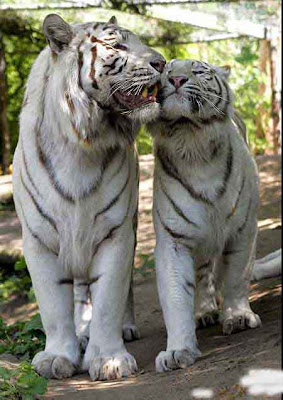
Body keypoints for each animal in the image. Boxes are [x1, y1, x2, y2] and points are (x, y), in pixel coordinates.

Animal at [12, 13, 165, 382]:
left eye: (140, 40)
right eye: (117, 45)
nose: (162, 62)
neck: (81, 144)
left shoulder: (115, 232)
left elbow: (109, 298)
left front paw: (110, 359)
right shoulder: (39, 239)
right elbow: (53, 306)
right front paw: (56, 357)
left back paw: (123, 328)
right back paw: (82, 333)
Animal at [148, 58, 268, 372]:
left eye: (198, 70)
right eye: (166, 70)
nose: (176, 79)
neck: (193, 142)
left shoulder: (243, 230)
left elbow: (236, 275)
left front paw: (237, 317)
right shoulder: (174, 240)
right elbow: (176, 296)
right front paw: (177, 350)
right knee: (202, 275)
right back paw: (203, 312)